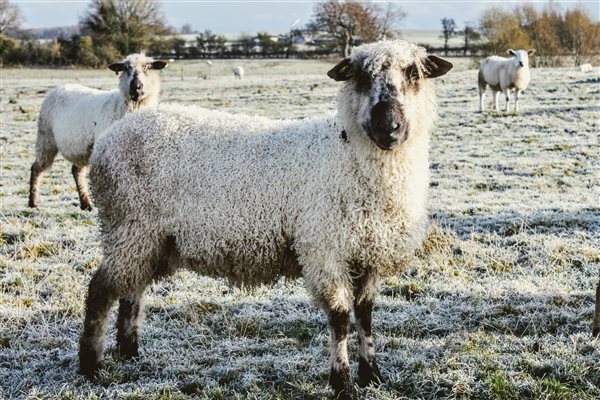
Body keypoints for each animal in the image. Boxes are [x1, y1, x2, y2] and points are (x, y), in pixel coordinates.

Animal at [28, 53, 168, 211]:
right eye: (126, 68)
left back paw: (85, 203)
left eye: (148, 67)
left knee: (76, 171)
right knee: (36, 168)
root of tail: (60, 87)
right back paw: (33, 202)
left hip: (81, 148)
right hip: (45, 138)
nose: (136, 88)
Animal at [77, 38, 452, 400]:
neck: (350, 156)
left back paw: (130, 352)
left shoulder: (368, 253)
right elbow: (341, 320)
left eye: (414, 74)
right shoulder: (325, 250)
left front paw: (372, 376)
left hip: (150, 240)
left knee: (132, 291)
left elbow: (366, 317)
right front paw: (343, 385)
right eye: (360, 77)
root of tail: (112, 136)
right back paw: (91, 365)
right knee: (100, 292)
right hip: (128, 227)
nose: (388, 128)